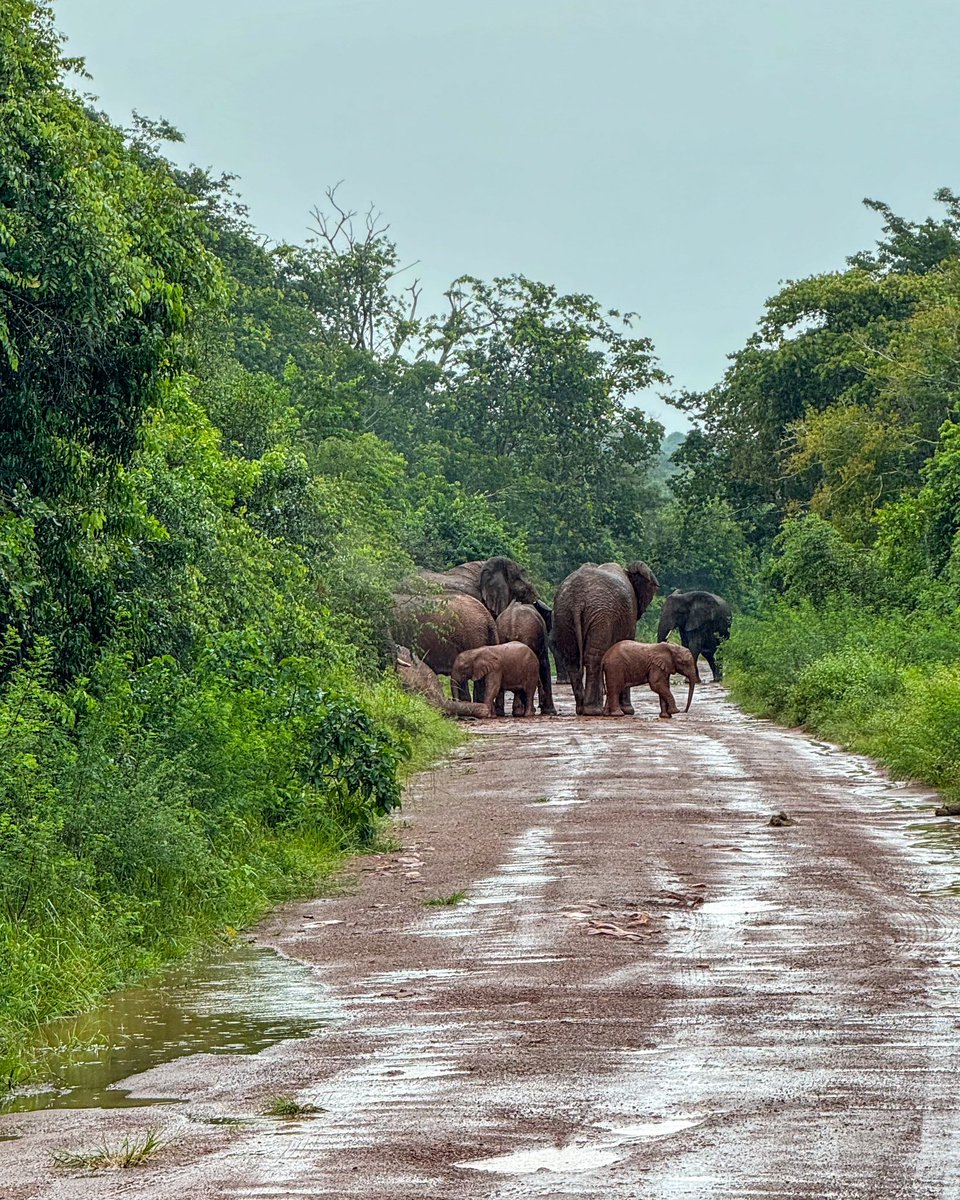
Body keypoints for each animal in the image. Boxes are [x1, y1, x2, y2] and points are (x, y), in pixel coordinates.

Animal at [547, 559, 662, 715]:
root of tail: (577, 600)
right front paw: (628, 711)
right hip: (601, 616)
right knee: (594, 657)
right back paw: (593, 710)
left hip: (564, 614)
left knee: (573, 659)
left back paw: (582, 709)